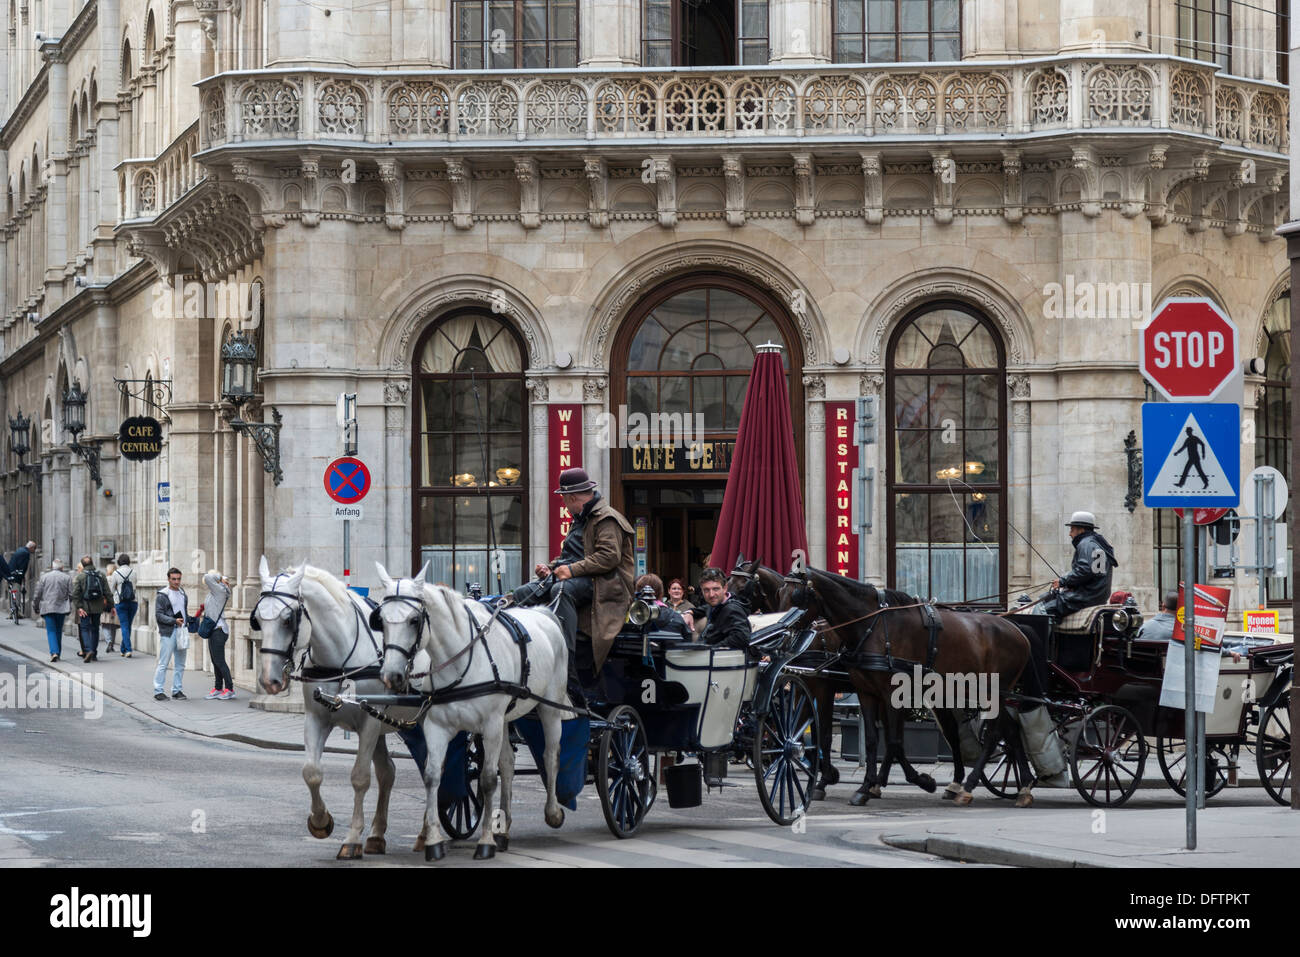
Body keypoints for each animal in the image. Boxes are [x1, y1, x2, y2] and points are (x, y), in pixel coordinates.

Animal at [253, 556, 431, 858]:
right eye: (258, 619)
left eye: (288, 619)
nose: (270, 680)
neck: (341, 658)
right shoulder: (317, 718)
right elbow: (311, 772)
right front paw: (320, 821)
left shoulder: (370, 723)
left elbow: (360, 777)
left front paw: (352, 839)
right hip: (406, 726)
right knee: (391, 772)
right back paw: (380, 835)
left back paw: (427, 832)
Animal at [369, 564, 566, 863]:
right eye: (381, 620)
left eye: (414, 620)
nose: (391, 675)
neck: (461, 661)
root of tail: (545, 613)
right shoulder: (437, 727)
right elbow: (433, 776)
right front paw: (434, 842)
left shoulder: (491, 725)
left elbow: (487, 780)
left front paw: (485, 842)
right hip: (507, 719)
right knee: (508, 765)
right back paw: (503, 830)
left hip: (549, 707)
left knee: (550, 756)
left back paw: (552, 812)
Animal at [780, 564, 1034, 806]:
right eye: (780, 594)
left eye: (797, 597)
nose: (781, 639)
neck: (873, 626)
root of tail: (1018, 631)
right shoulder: (865, 692)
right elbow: (871, 740)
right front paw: (865, 786)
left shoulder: (878, 691)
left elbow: (892, 741)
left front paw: (917, 780)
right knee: (1007, 730)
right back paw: (1023, 785)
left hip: (994, 692)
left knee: (994, 734)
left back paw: (970, 786)